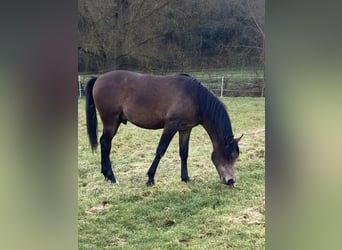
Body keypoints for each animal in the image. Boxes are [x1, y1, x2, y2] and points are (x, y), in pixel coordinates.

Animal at [84, 69, 242, 187]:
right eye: (230, 155)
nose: (231, 181)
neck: (195, 97)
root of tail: (99, 78)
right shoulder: (171, 126)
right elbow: (160, 150)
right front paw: (150, 178)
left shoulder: (185, 129)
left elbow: (184, 153)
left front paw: (185, 178)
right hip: (110, 121)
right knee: (105, 143)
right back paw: (111, 177)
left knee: (105, 143)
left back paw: (107, 175)